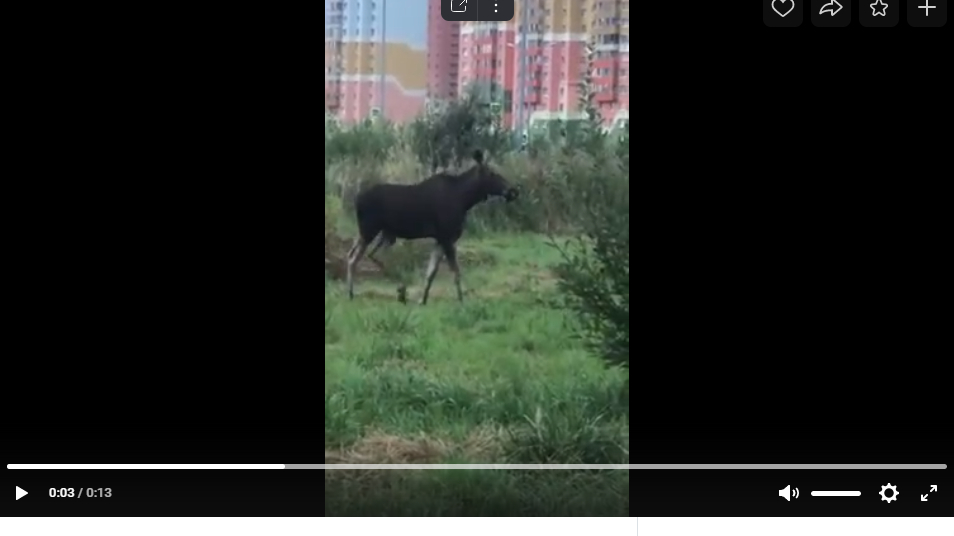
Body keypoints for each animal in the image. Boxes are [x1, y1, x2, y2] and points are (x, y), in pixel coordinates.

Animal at [346, 149, 516, 304]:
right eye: (492, 173)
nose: (513, 191)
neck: (465, 199)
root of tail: (356, 200)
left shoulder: (440, 239)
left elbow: (431, 273)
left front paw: (423, 300)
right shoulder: (447, 237)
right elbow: (455, 272)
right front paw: (461, 301)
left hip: (379, 234)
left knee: (357, 255)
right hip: (369, 231)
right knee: (355, 259)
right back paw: (355, 293)